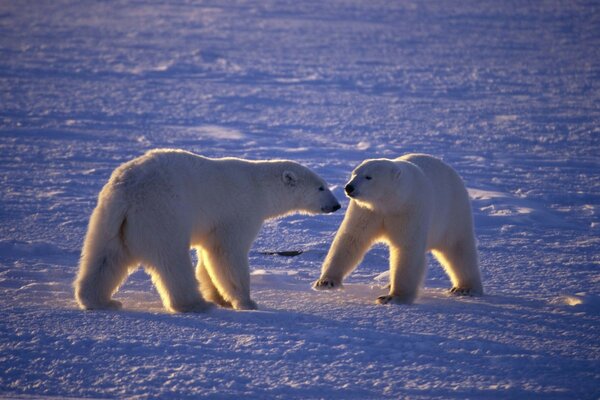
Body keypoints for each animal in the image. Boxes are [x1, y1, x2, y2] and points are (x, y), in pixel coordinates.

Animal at [74, 149, 342, 312]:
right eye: (321, 187)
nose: (337, 205)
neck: (260, 187)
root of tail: (126, 190)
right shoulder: (238, 211)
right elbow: (226, 254)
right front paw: (247, 302)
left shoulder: (213, 225)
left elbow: (208, 257)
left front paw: (220, 297)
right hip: (162, 213)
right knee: (172, 260)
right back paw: (195, 304)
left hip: (112, 220)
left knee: (105, 257)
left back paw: (101, 300)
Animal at [314, 153, 482, 304]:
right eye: (354, 173)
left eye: (368, 177)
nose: (349, 187)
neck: (390, 202)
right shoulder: (367, 211)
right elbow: (352, 238)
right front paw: (326, 282)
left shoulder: (409, 210)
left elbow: (407, 249)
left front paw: (392, 297)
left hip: (453, 213)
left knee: (459, 249)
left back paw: (465, 288)